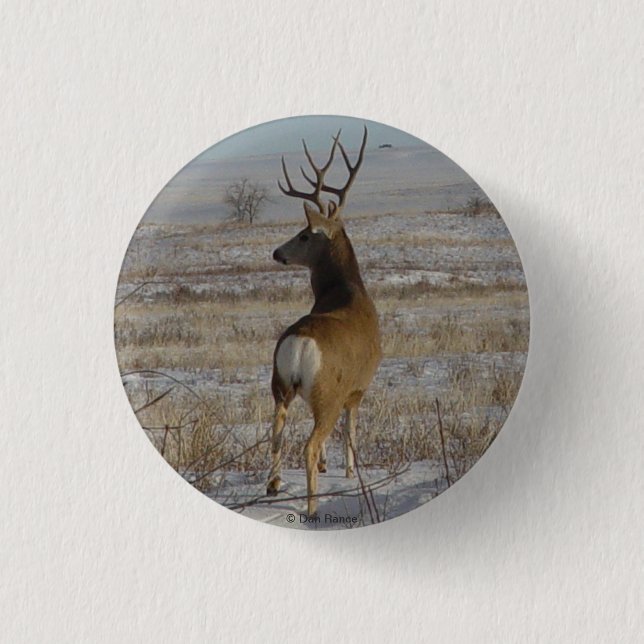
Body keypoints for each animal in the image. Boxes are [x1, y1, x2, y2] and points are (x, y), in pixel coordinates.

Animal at [266, 126, 382, 517]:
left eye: (304, 234)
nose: (277, 253)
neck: (347, 291)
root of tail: (300, 344)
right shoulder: (357, 388)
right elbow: (352, 429)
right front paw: (347, 470)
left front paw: (328, 466)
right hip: (326, 393)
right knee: (310, 443)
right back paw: (313, 507)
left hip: (279, 385)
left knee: (276, 432)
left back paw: (273, 485)